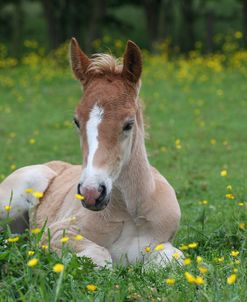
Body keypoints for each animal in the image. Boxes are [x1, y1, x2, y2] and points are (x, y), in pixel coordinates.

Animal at [0, 39, 183, 268]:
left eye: (128, 124)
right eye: (76, 121)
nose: (91, 193)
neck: (131, 212)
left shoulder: (165, 244)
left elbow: (173, 260)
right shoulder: (58, 233)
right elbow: (101, 258)